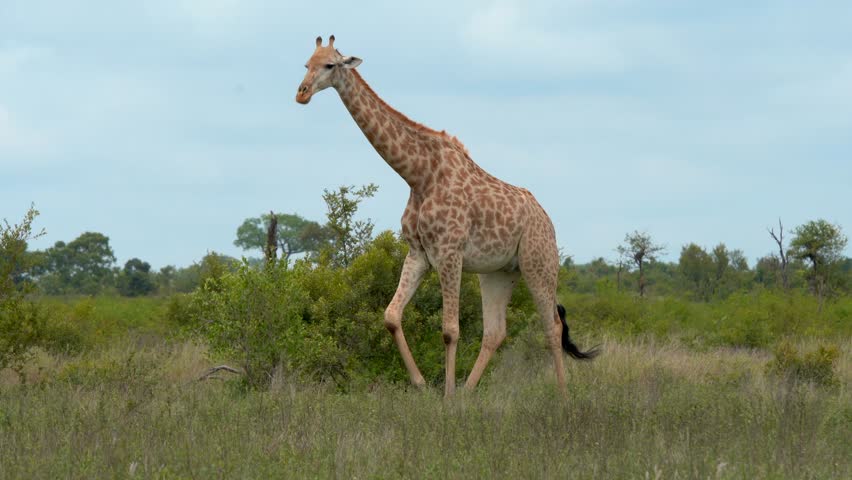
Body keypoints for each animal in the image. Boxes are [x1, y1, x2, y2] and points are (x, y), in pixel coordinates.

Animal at [296, 36, 597, 396]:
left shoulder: (449, 252)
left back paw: (562, 396)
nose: (301, 93)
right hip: (498, 272)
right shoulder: (419, 252)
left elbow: (450, 329)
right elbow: (391, 316)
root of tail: (547, 219)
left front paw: (447, 396)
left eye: (330, 65)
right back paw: (469, 392)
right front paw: (423, 384)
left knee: (551, 326)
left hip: (539, 262)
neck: (418, 175)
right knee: (495, 331)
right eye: (306, 63)